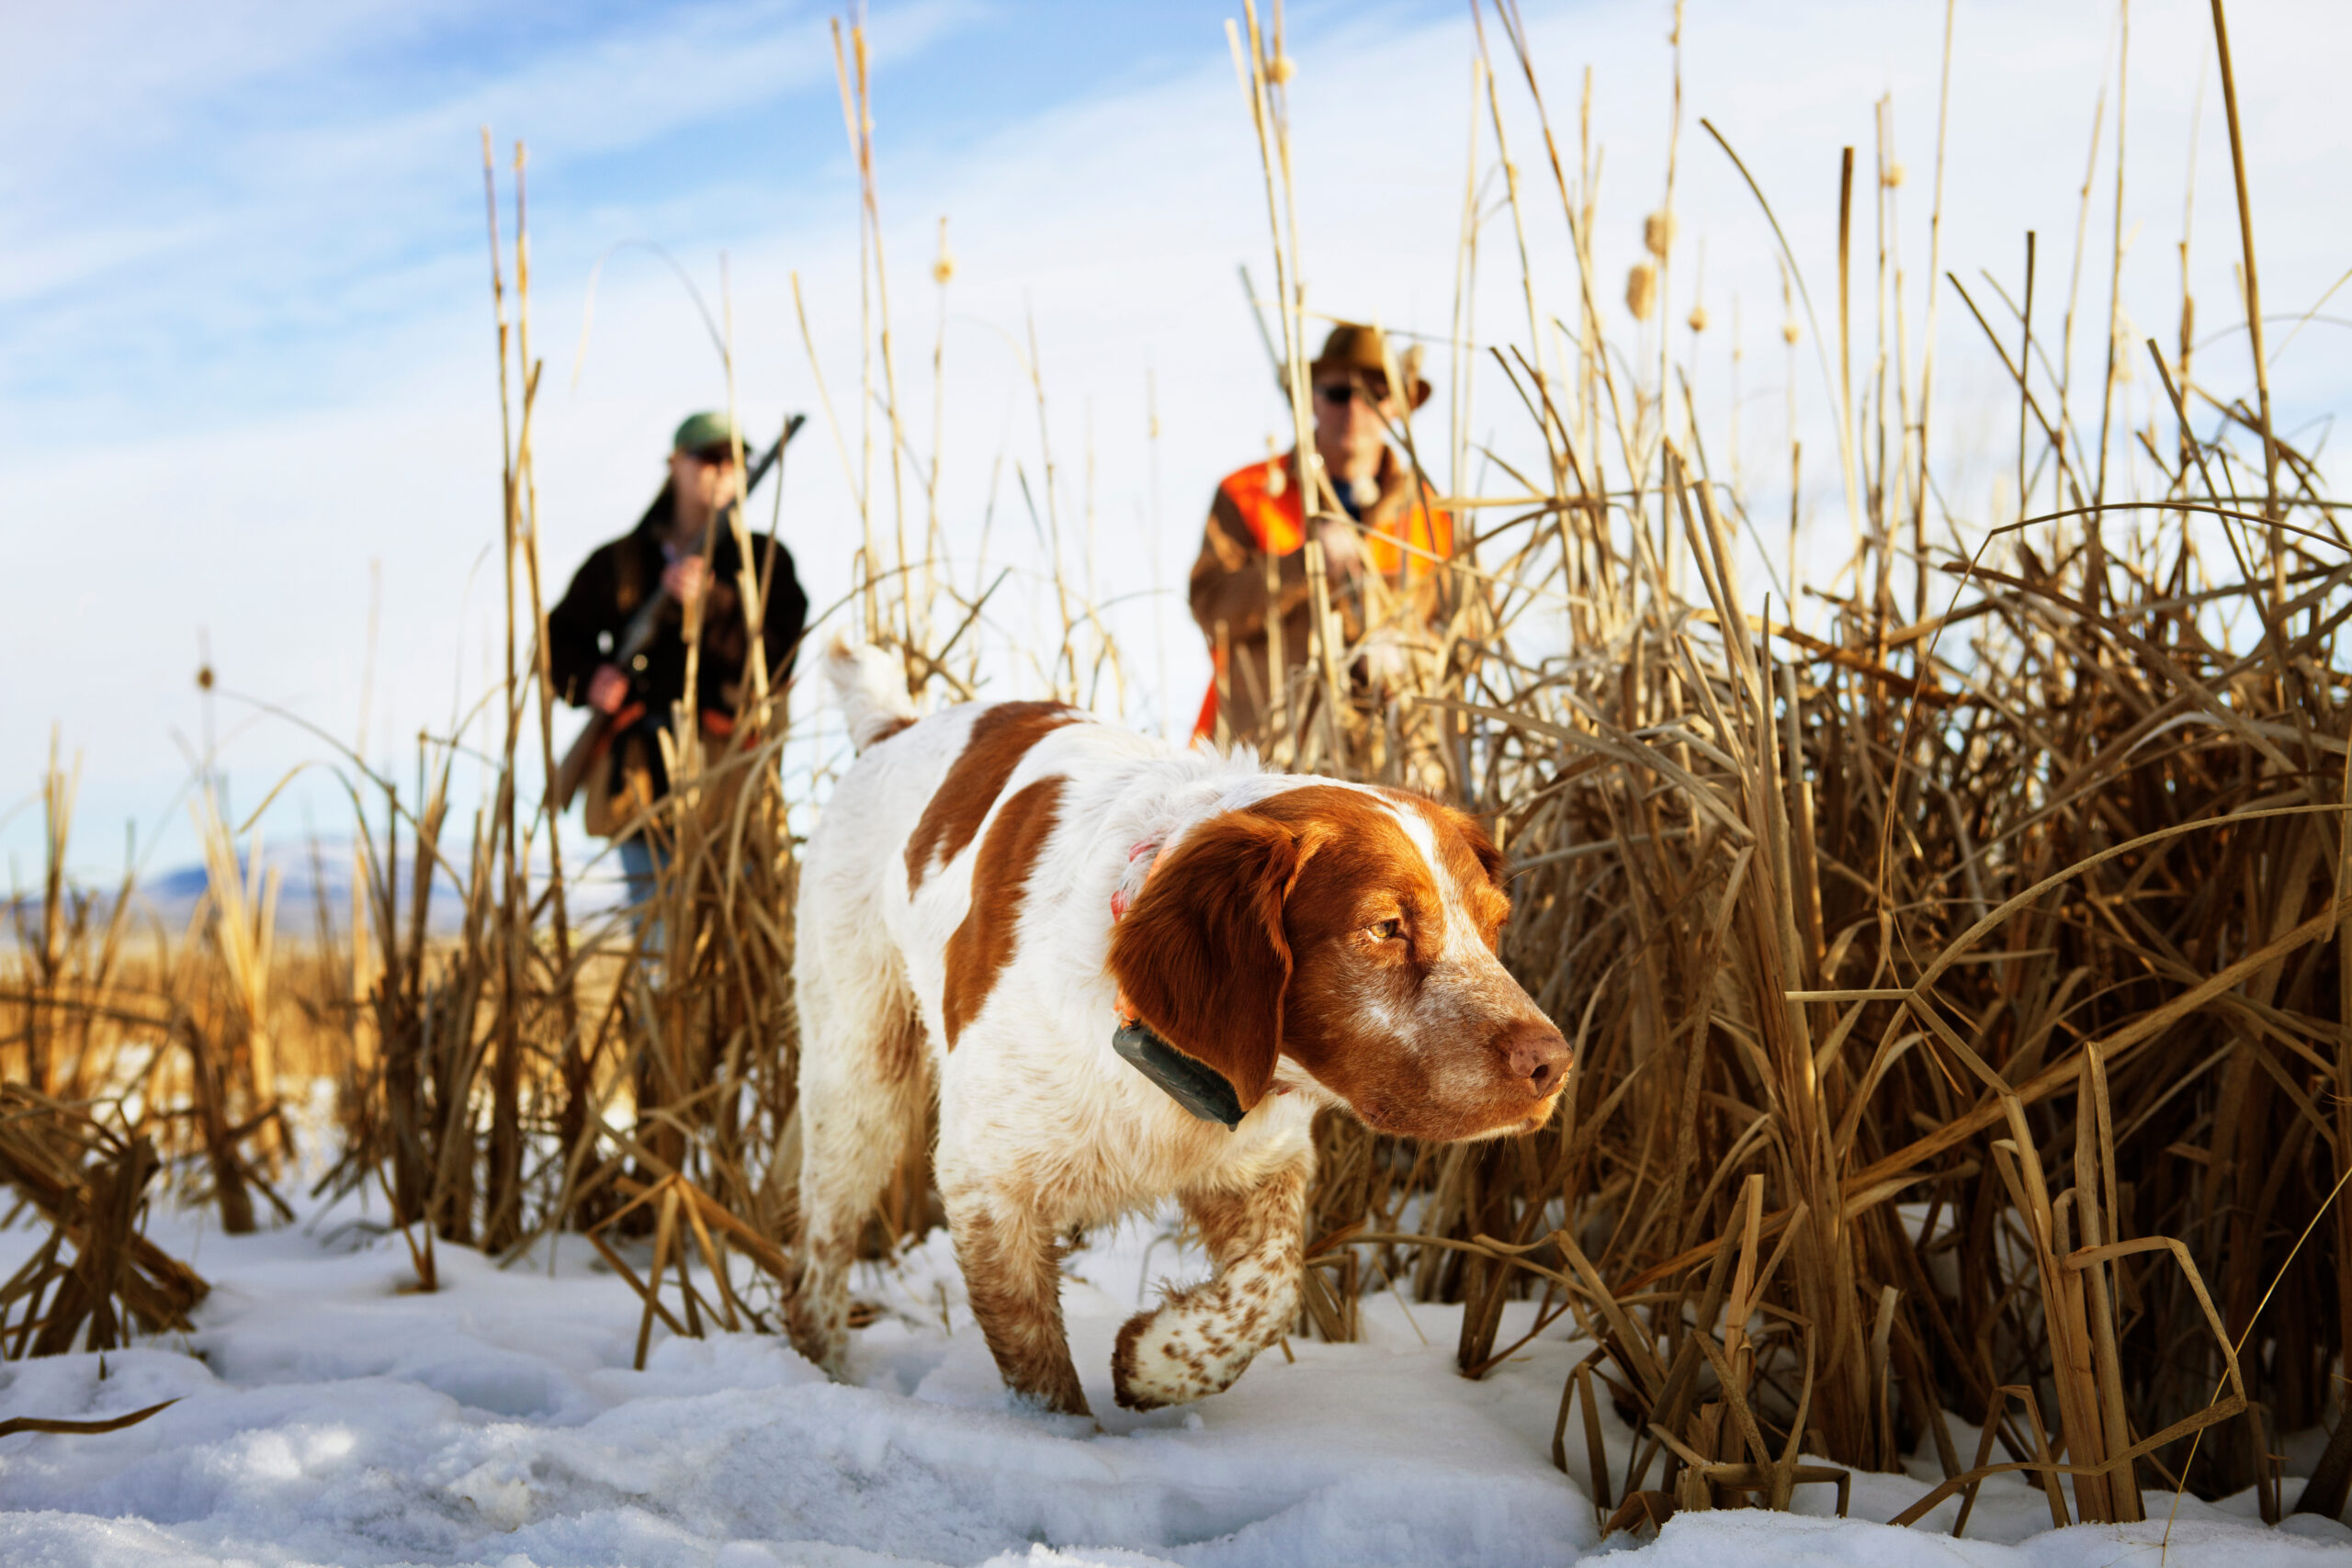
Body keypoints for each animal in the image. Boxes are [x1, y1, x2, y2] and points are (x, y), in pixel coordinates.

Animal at [780, 644, 1571, 1419]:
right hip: (857, 1079)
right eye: (1386, 927)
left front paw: (1158, 1362)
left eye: (1495, 924)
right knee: (818, 1259)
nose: (1554, 1063)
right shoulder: (985, 1182)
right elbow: (1041, 1375)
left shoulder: (1259, 1163)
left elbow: (1271, 1285)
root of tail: (895, 724)